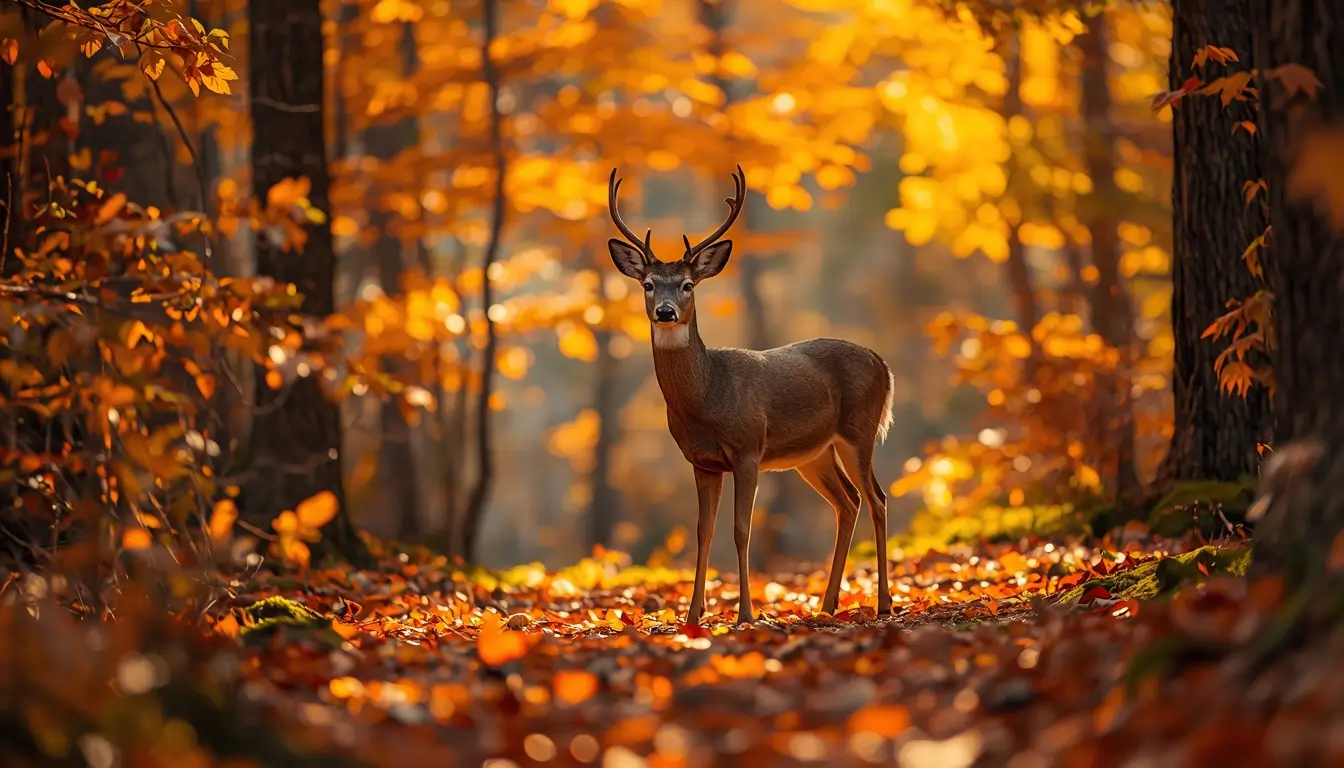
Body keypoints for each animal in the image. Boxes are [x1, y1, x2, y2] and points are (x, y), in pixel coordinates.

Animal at [605, 165, 896, 625]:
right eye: (648, 284)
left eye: (687, 285)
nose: (665, 312)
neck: (707, 397)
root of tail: (881, 362)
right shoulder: (702, 461)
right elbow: (704, 532)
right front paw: (693, 615)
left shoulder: (747, 447)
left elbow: (742, 530)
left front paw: (745, 613)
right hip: (813, 454)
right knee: (847, 502)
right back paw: (827, 604)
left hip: (859, 431)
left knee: (877, 499)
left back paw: (883, 602)